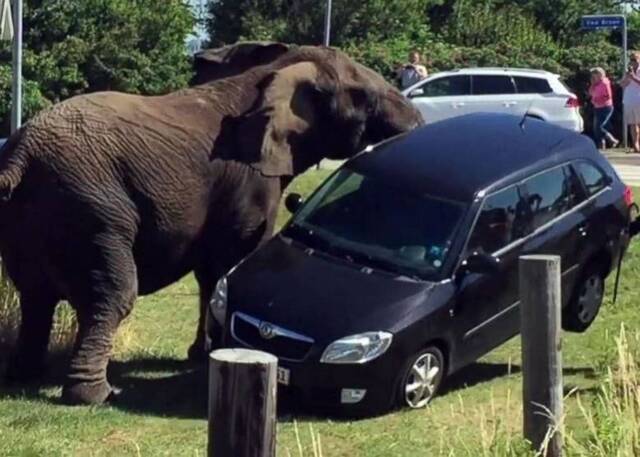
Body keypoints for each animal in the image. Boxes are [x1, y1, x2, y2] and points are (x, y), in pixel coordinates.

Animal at [0, 41, 422, 402]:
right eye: (365, 97)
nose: (420, 121)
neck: (273, 72)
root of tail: (21, 154)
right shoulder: (249, 180)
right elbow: (232, 259)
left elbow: (210, 273)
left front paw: (200, 354)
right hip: (93, 211)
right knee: (112, 296)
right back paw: (96, 395)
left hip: (28, 220)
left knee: (35, 296)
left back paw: (25, 375)